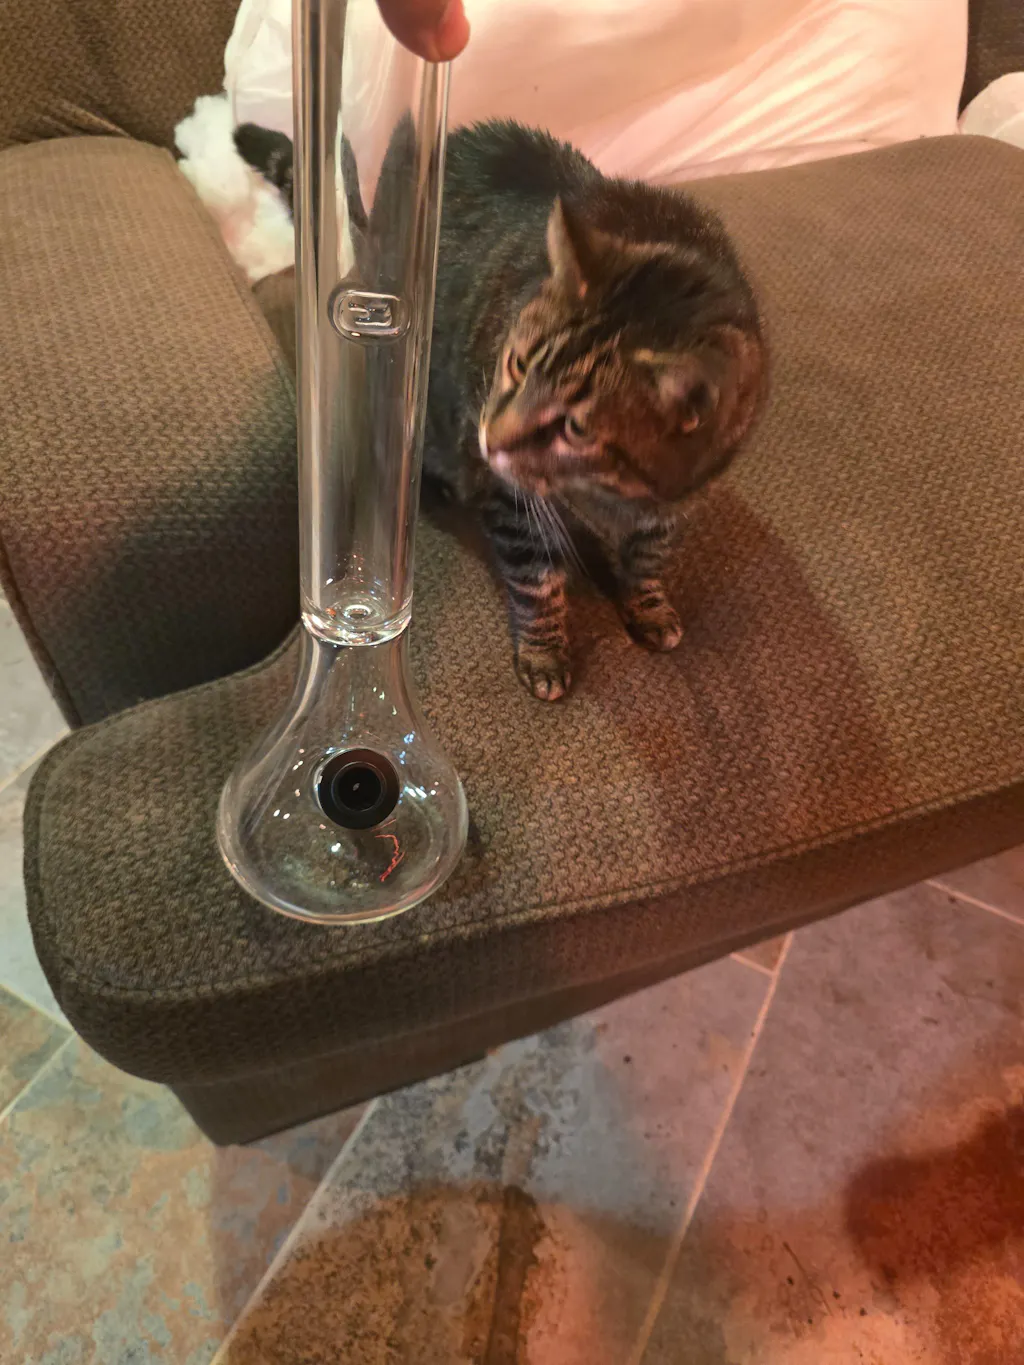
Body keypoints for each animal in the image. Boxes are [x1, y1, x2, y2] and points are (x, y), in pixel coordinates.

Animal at [235, 120, 766, 701]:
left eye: (576, 428)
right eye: (516, 363)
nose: (491, 438)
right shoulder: (510, 498)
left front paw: (649, 606)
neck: (610, 494)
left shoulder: (674, 503)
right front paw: (545, 650)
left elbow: (649, 557)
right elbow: (538, 579)